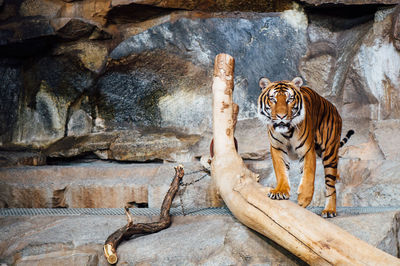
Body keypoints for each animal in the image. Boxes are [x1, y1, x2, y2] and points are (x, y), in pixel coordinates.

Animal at [256, 76, 354, 217]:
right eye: (273, 99)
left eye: (289, 99)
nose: (281, 116)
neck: (287, 132)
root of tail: (334, 108)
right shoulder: (277, 148)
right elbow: (281, 171)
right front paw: (280, 191)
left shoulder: (307, 150)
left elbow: (309, 175)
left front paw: (303, 199)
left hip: (329, 153)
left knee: (331, 185)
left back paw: (330, 210)